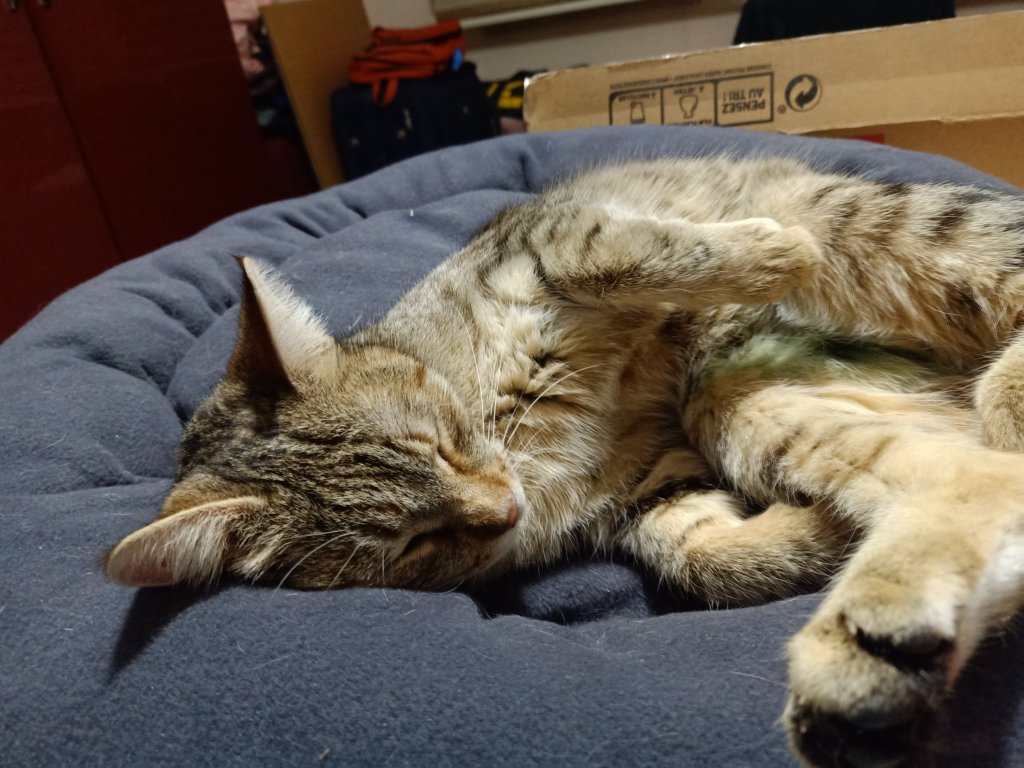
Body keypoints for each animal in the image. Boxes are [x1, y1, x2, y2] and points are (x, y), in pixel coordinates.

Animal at [104, 156, 1024, 767]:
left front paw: (773, 250)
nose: (504, 513)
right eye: (410, 545)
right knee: (978, 487)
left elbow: (638, 252)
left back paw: (998, 384)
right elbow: (705, 558)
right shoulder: (655, 483)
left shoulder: (550, 243)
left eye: (443, 439)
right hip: (738, 405)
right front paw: (808, 536)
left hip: (885, 237)